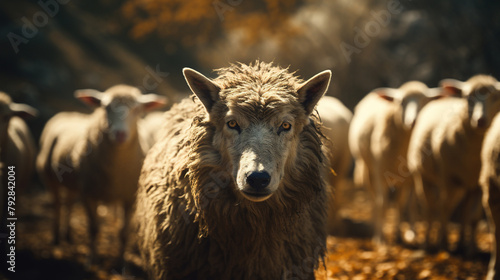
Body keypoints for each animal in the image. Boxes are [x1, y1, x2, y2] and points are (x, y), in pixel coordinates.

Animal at [37, 84, 166, 264]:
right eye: (106, 107)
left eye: (137, 109)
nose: (120, 134)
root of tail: (66, 114)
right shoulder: (88, 193)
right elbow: (94, 228)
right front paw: (92, 259)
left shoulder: (128, 197)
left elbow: (123, 232)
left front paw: (121, 261)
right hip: (49, 176)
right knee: (57, 205)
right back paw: (56, 238)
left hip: (73, 183)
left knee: (68, 203)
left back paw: (67, 235)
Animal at [348, 81, 442, 245]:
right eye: (401, 102)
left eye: (424, 100)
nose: (413, 121)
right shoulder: (380, 173)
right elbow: (383, 203)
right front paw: (380, 238)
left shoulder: (410, 177)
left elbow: (402, 204)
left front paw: (400, 235)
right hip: (367, 169)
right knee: (374, 199)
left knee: (409, 203)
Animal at [408, 74, 500, 254]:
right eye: (468, 98)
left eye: (495, 97)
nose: (480, 120)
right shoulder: (447, 177)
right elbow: (445, 208)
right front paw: (443, 244)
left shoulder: (477, 184)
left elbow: (473, 217)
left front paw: (470, 248)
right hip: (423, 176)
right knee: (431, 207)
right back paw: (428, 243)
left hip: (464, 185)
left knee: (461, 211)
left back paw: (461, 243)